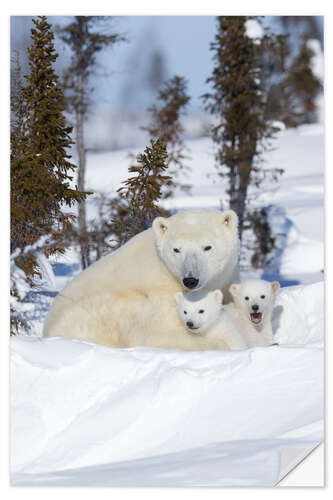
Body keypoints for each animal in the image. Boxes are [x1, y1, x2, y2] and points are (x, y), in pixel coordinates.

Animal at [43, 209, 239, 350]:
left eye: (207, 247)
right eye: (176, 249)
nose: (190, 280)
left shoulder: (226, 279)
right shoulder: (162, 290)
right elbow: (157, 334)